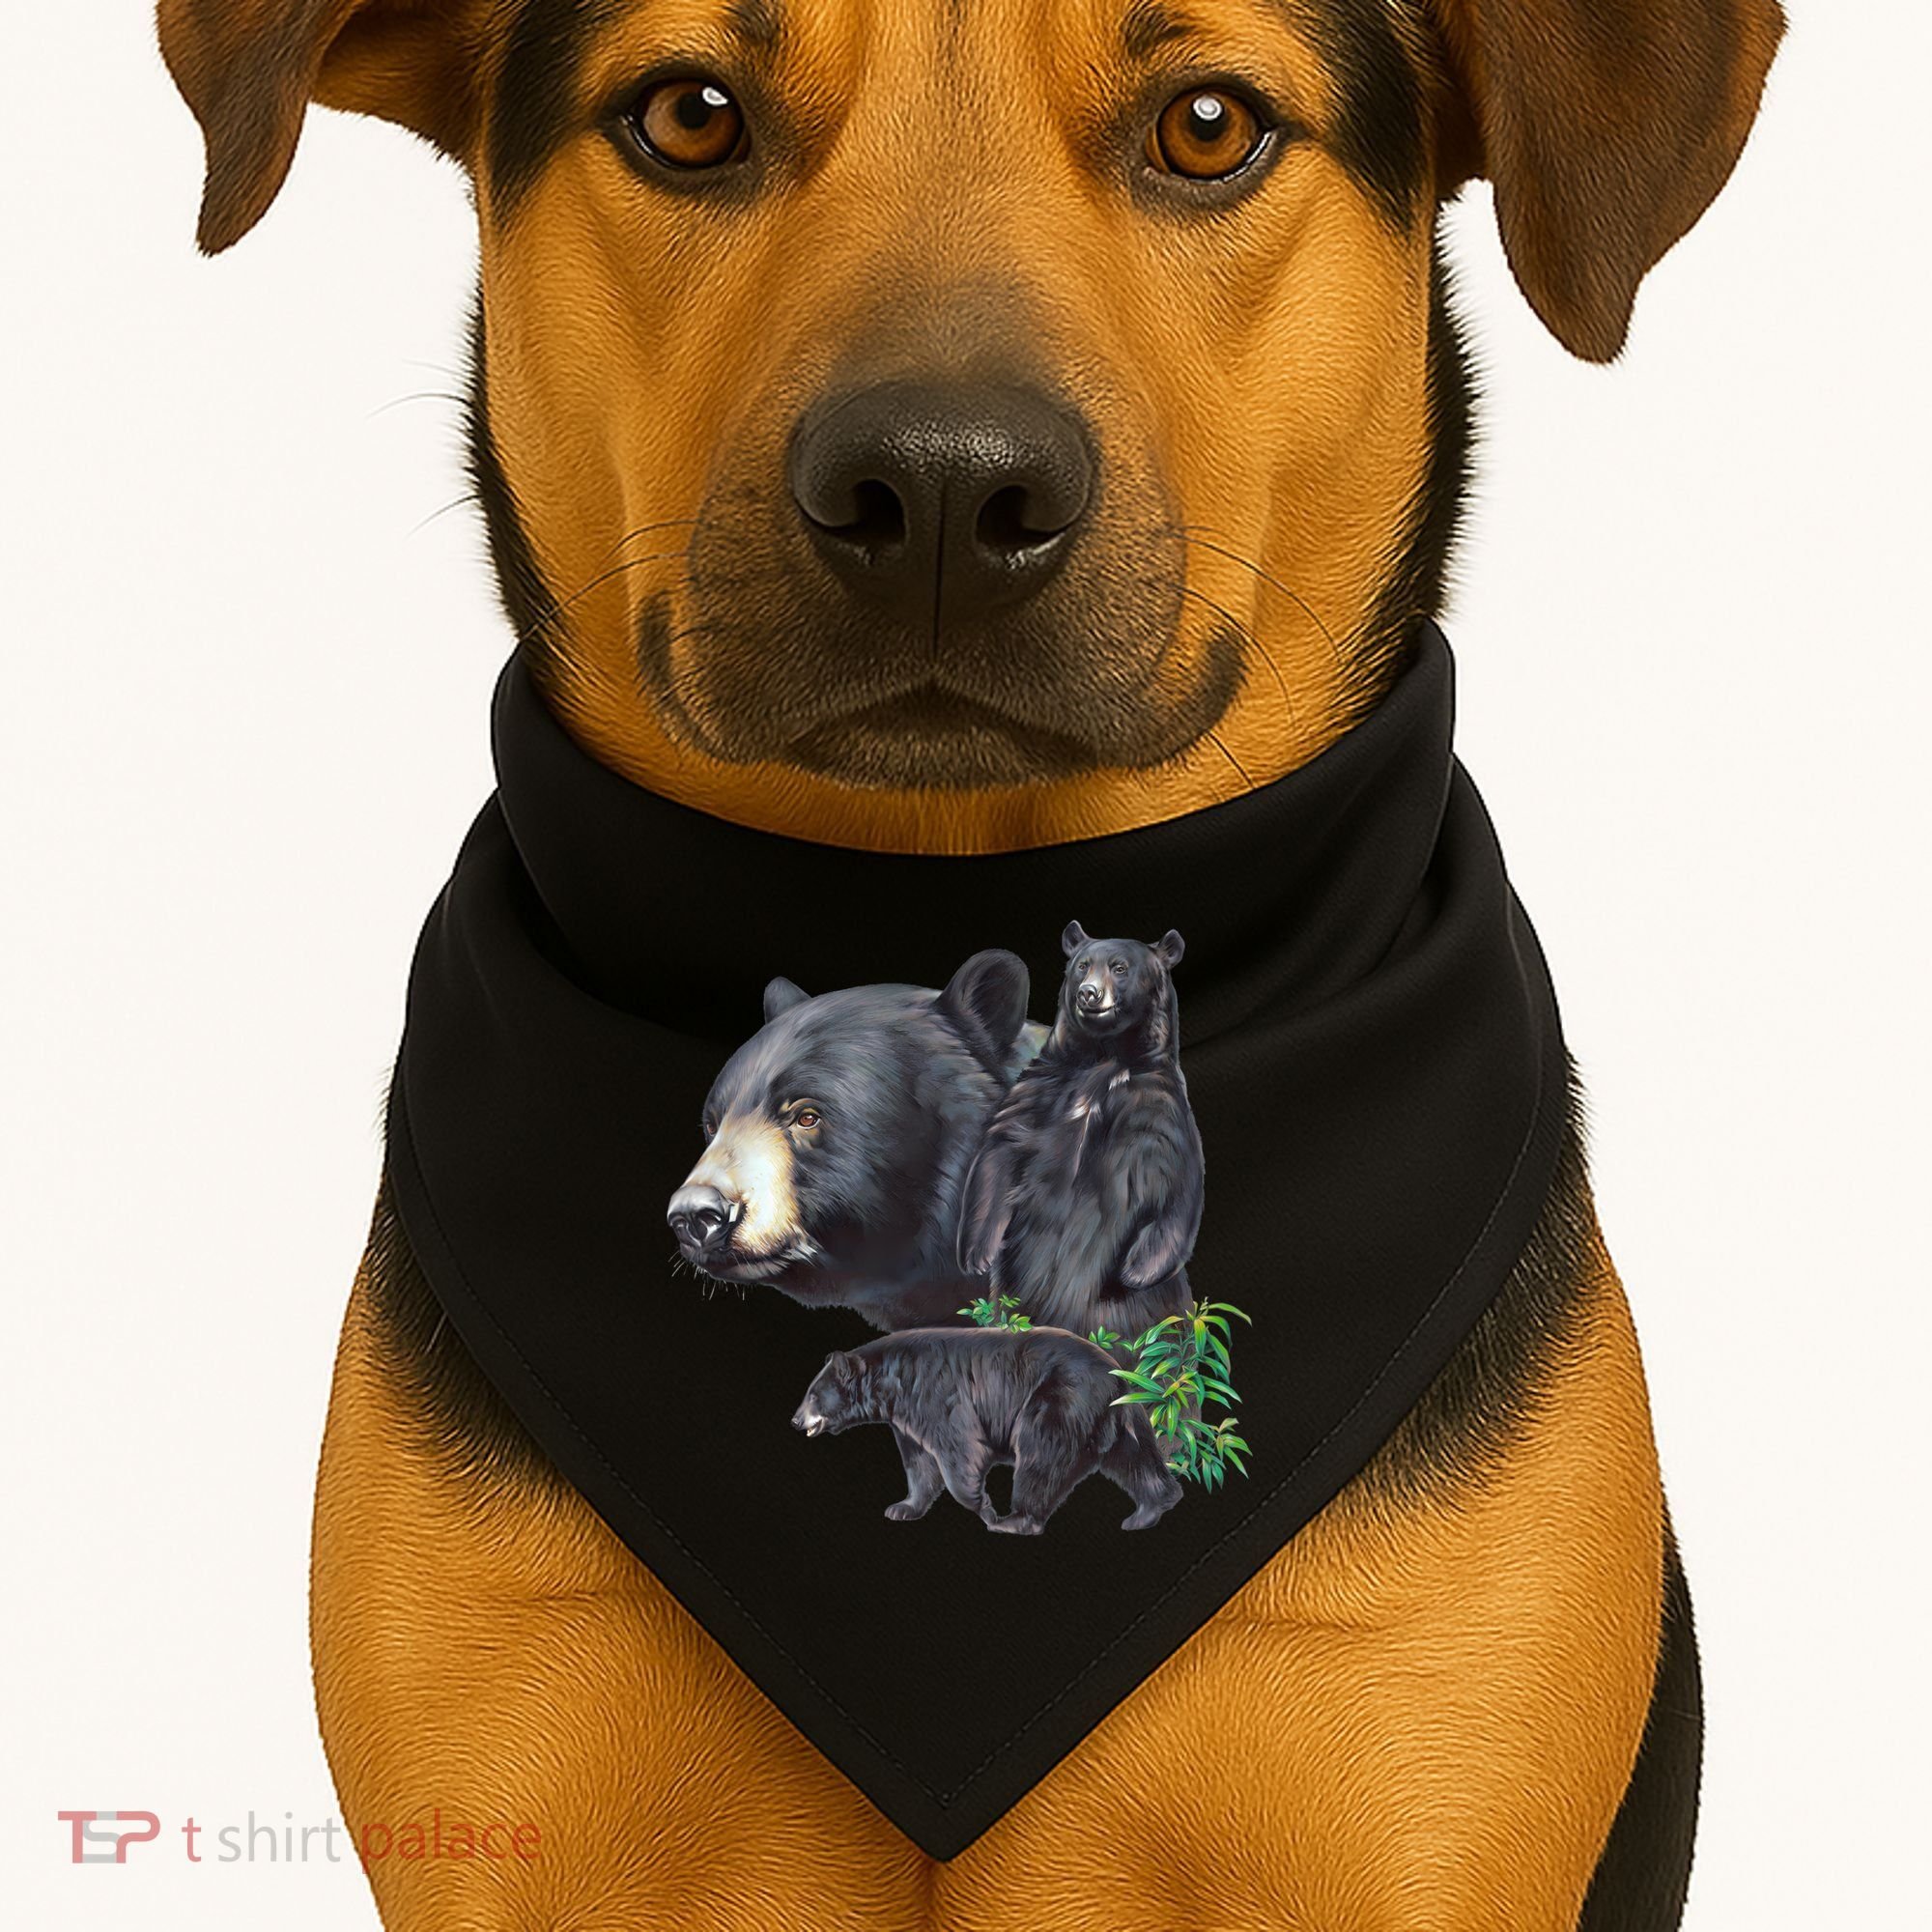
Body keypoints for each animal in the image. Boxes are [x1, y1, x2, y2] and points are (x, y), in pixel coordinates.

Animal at [791, 1327, 1184, 1534]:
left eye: (812, 1394)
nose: (795, 1420)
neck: (894, 1379)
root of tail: (1117, 1378)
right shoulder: (905, 1419)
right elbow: (920, 1464)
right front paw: (902, 1507)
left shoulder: (937, 1396)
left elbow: (960, 1449)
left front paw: (983, 1506)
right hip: (1123, 1419)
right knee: (1137, 1461)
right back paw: (1147, 1511)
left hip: (1061, 1400)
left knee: (1039, 1455)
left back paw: (1013, 1520)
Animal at [957, 922, 1205, 1351]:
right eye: (1082, 965)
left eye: (1120, 967)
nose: (1089, 993)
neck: (1102, 1063)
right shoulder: (1041, 1091)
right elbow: (997, 1148)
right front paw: (976, 1254)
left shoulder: (1159, 1106)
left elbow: (1180, 1180)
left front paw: (1136, 1271)